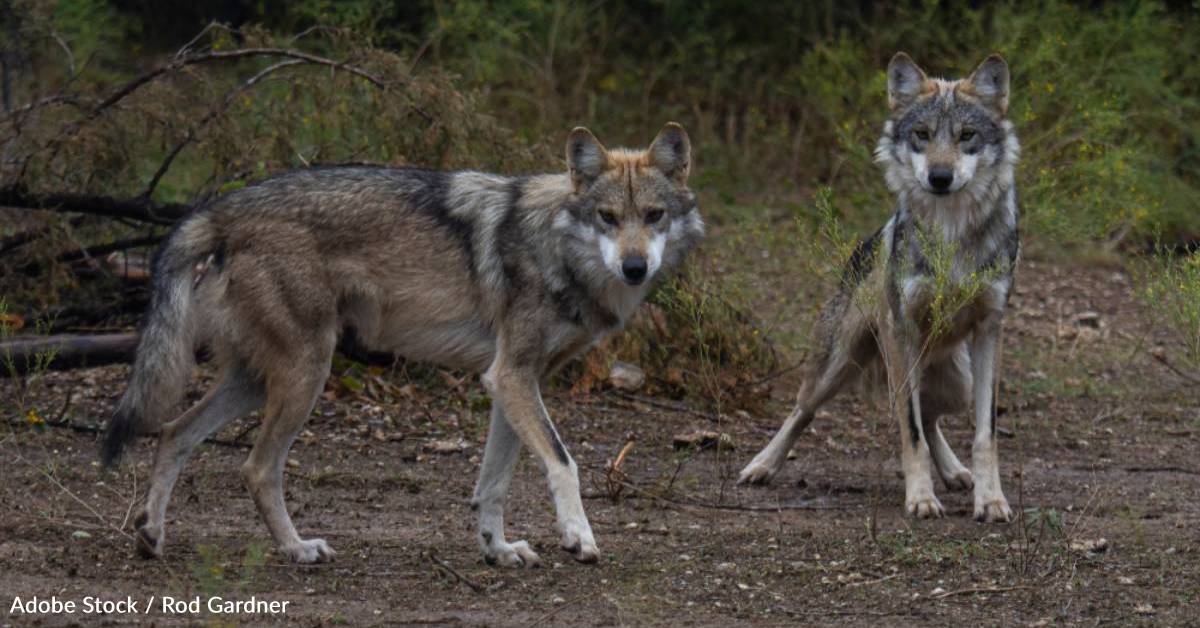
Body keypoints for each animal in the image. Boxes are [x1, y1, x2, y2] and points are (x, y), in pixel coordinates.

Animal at [102, 123, 704, 565]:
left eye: (654, 217)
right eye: (608, 218)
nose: (634, 267)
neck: (555, 247)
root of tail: (221, 208)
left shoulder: (515, 381)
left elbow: (494, 484)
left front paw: (498, 550)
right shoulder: (511, 376)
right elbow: (563, 462)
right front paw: (579, 538)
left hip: (257, 380)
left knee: (173, 432)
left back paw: (150, 536)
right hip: (306, 374)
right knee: (255, 467)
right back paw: (297, 549)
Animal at [738, 53, 1020, 523]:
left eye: (967, 136)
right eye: (922, 134)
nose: (940, 177)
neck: (950, 232)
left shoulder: (989, 330)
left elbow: (985, 435)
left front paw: (991, 500)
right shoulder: (901, 330)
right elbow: (910, 430)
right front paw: (921, 498)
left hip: (956, 382)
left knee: (931, 415)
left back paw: (956, 473)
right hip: (841, 365)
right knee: (803, 409)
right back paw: (762, 465)